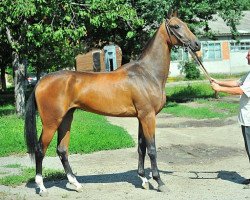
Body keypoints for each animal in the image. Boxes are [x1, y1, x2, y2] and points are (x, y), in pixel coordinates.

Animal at [24, 10, 200, 195]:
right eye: (176, 26)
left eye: (185, 24)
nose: (197, 45)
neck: (147, 73)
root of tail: (41, 81)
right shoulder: (148, 116)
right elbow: (152, 149)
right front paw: (159, 182)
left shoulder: (141, 117)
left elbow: (141, 147)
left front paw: (144, 179)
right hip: (51, 122)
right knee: (40, 150)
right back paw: (42, 187)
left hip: (66, 118)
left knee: (62, 150)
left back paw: (76, 184)